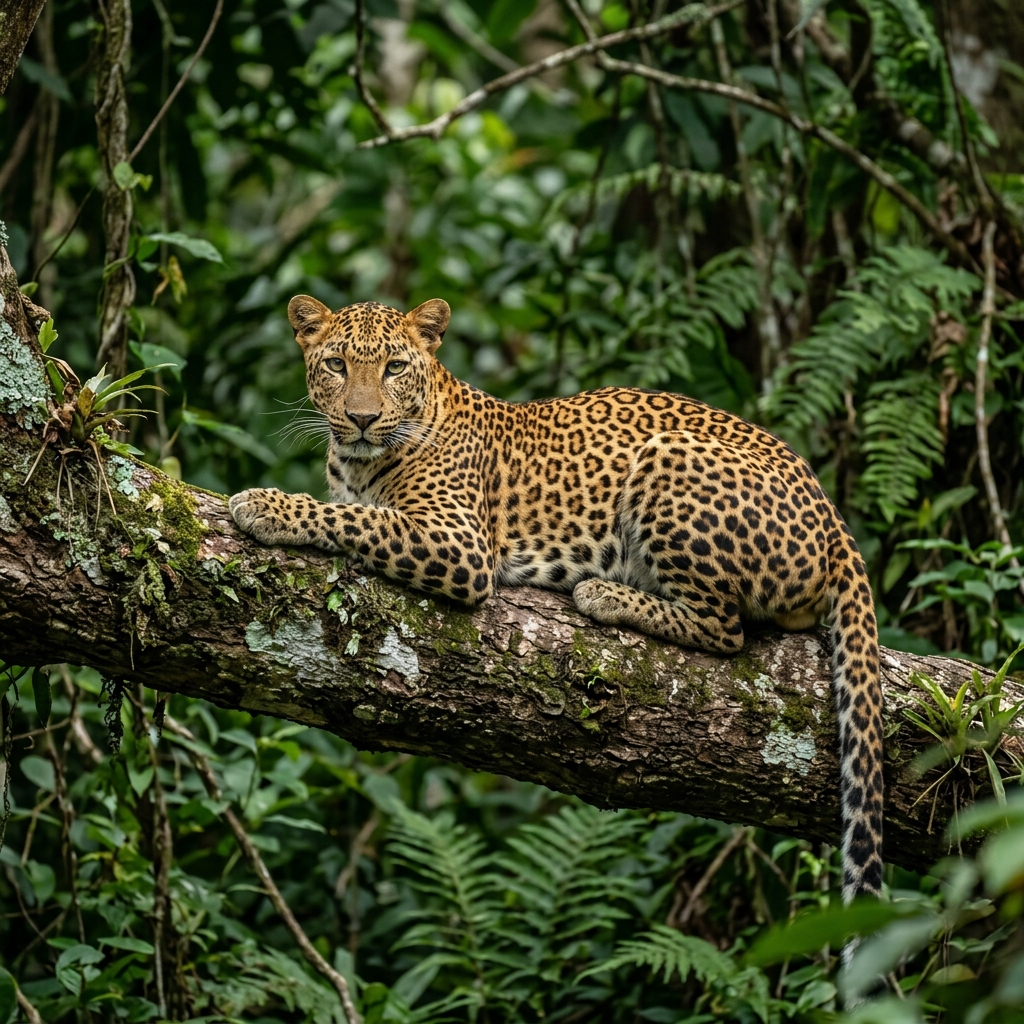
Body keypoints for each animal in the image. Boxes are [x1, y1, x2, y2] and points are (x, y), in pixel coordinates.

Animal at [229, 295, 884, 902]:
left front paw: (266, 504)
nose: (362, 419)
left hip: (668, 456)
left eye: (394, 367)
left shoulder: (458, 542)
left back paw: (604, 592)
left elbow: (353, 518)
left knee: (724, 627)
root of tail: (834, 519)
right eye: (336, 365)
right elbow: (352, 510)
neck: (361, 463)